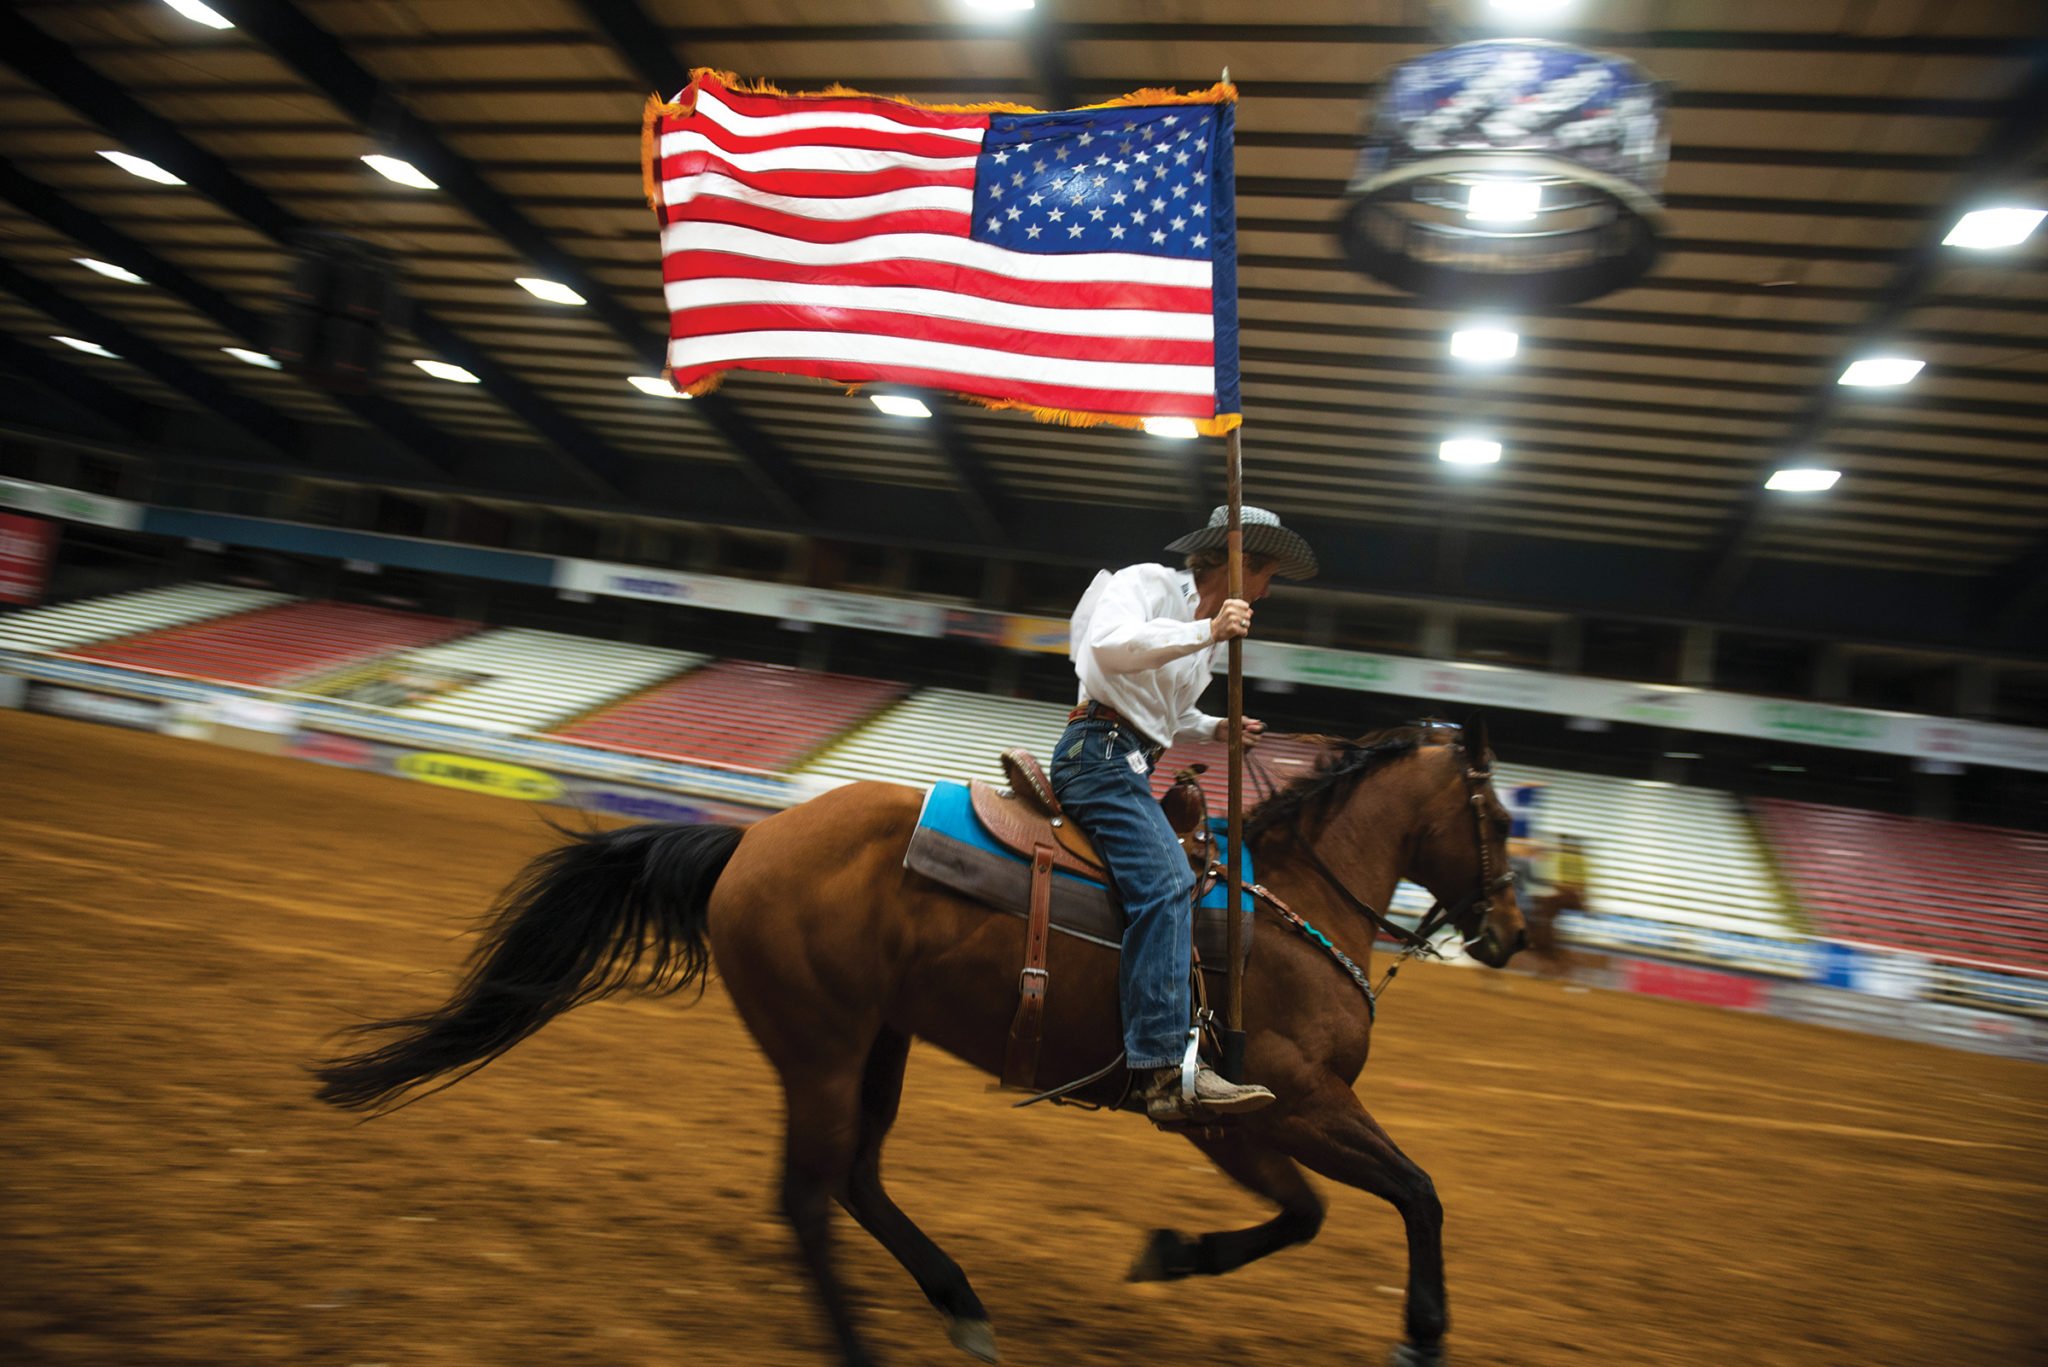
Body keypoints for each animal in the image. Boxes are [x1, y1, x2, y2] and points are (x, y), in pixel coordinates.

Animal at [315, 721, 1523, 1360]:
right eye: (1502, 819)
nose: (1512, 933)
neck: (1285, 907)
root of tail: (749, 841)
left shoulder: (1239, 1120)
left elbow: (1308, 1214)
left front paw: (1174, 1254)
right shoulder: (1287, 1100)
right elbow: (1411, 1193)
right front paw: (1423, 1329)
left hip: (877, 1040)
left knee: (855, 1177)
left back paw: (958, 1299)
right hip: (819, 1044)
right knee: (809, 1195)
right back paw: (864, 1340)